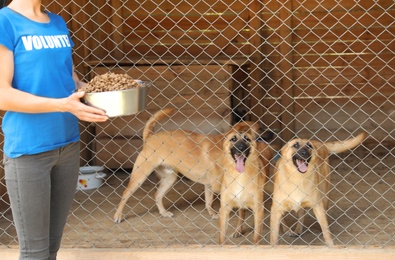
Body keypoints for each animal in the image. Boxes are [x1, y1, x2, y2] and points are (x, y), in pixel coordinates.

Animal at [113, 107, 270, 223]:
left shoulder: (209, 185)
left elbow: (208, 202)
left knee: (157, 195)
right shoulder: (218, 185)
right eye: (260, 129)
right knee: (125, 194)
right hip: (140, 176)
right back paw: (118, 215)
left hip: (169, 178)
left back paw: (163, 213)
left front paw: (213, 214)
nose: (273, 132)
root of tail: (150, 137)